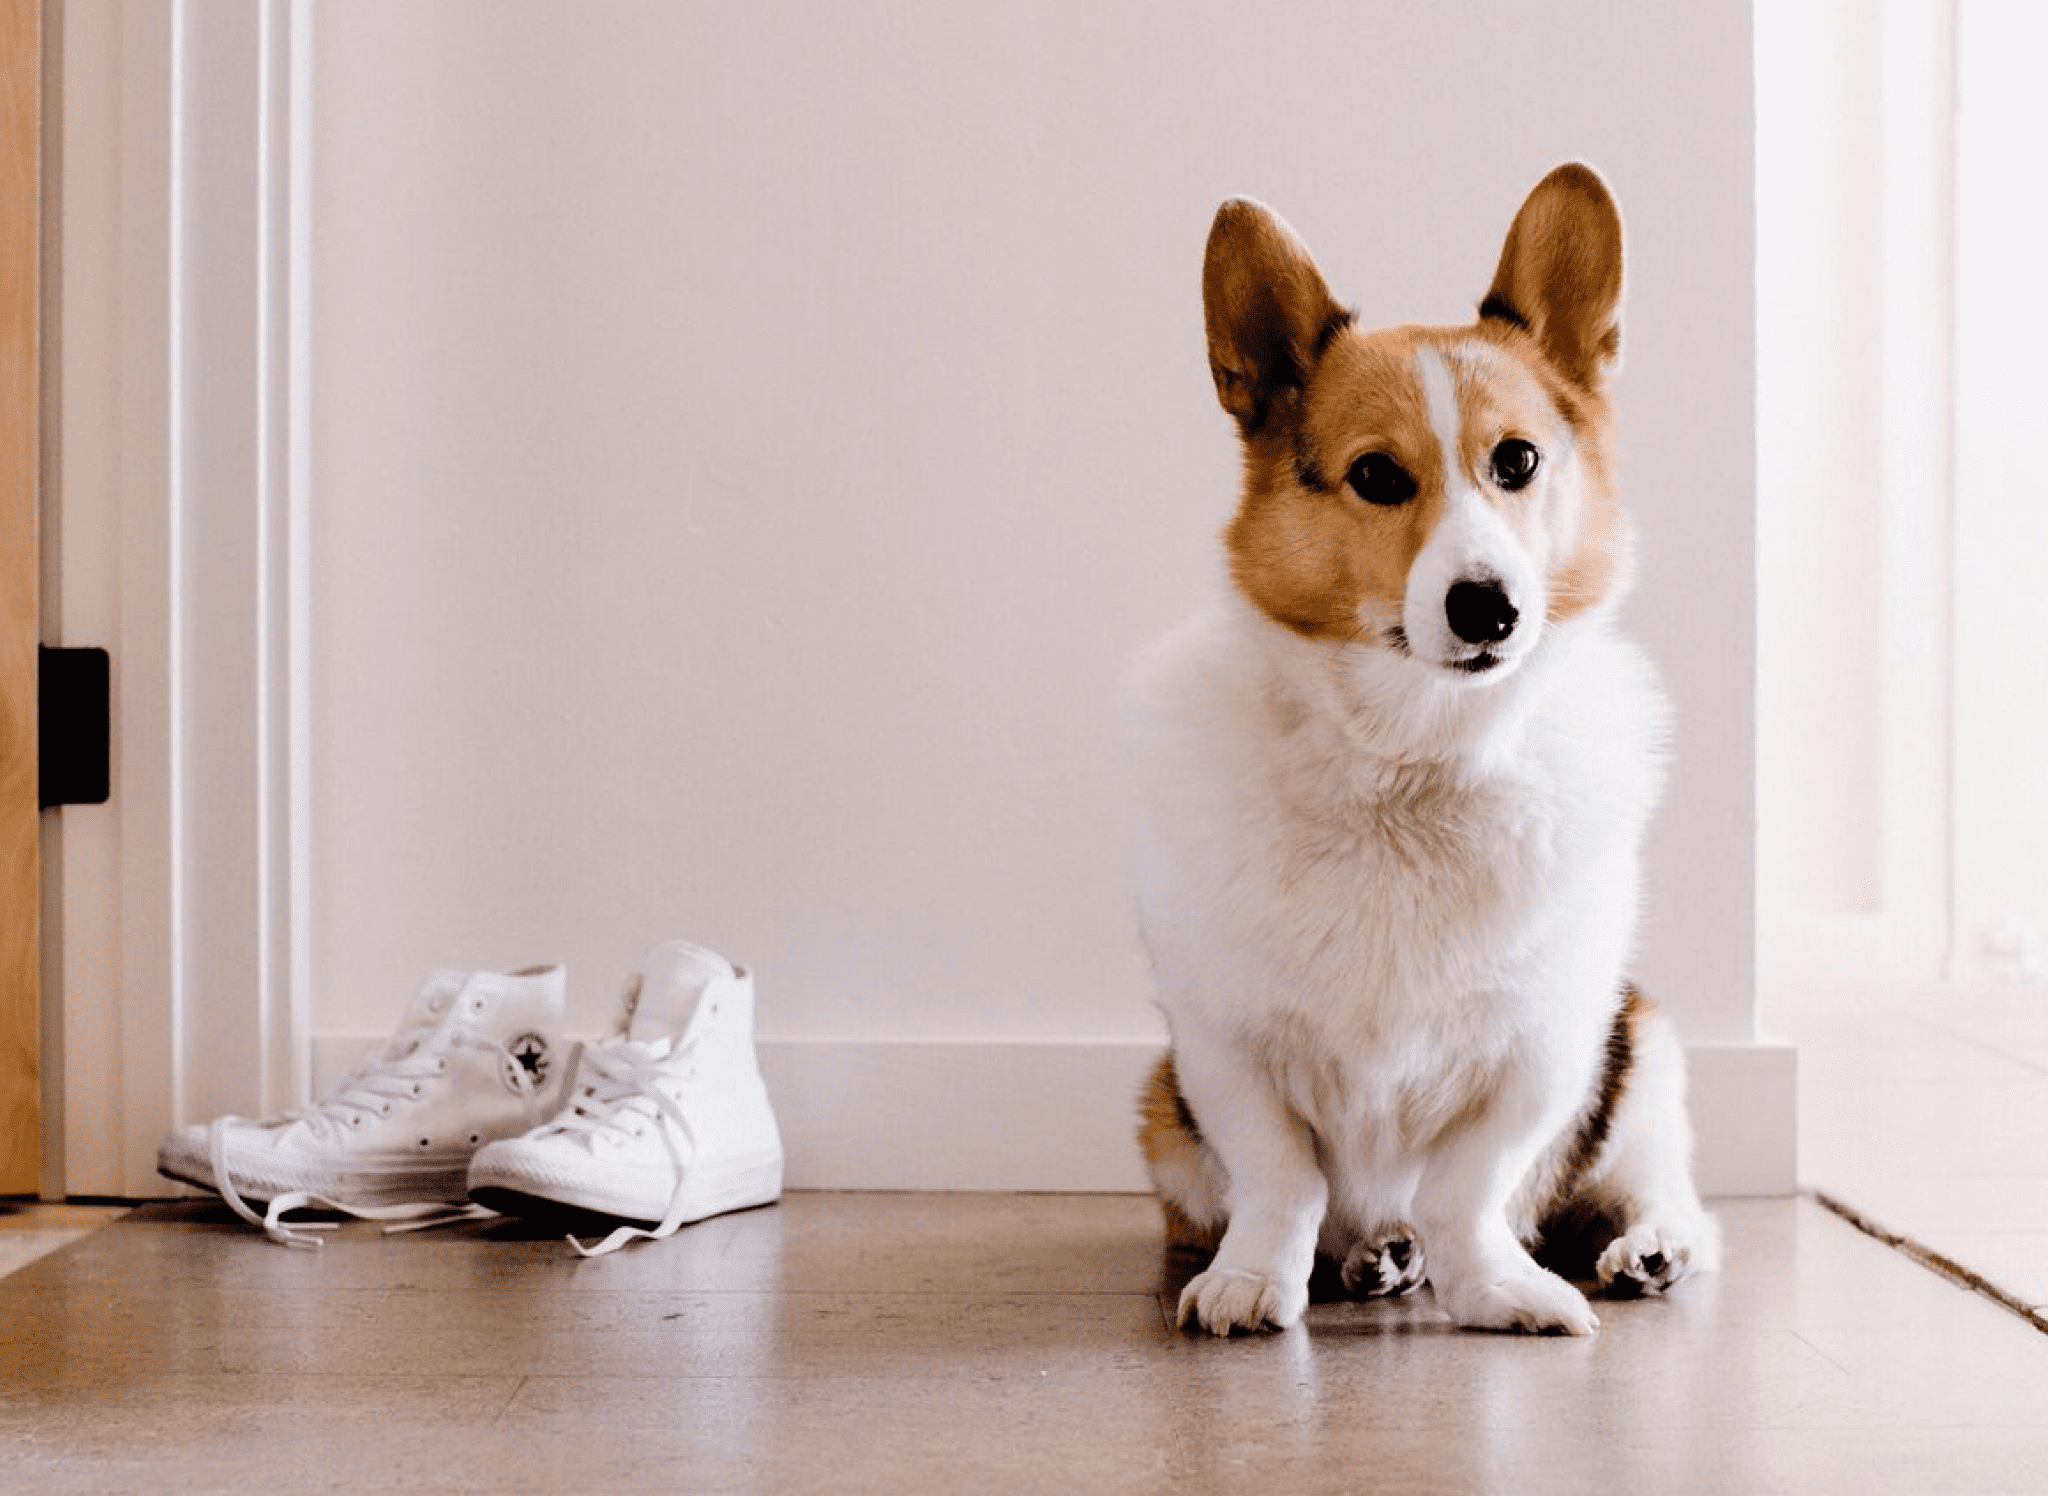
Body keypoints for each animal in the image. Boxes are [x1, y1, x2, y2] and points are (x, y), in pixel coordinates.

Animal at [1138, 169, 1712, 1336]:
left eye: (1517, 461)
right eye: (1374, 476)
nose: (1488, 607)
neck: (1416, 758)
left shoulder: (1545, 1050)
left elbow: (1467, 1186)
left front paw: (1496, 1289)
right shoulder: (1221, 1044)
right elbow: (1281, 1176)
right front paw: (1250, 1280)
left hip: (1643, 1048)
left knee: (1660, 1186)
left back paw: (1645, 1250)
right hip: (1162, 1121)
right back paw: (1376, 1257)